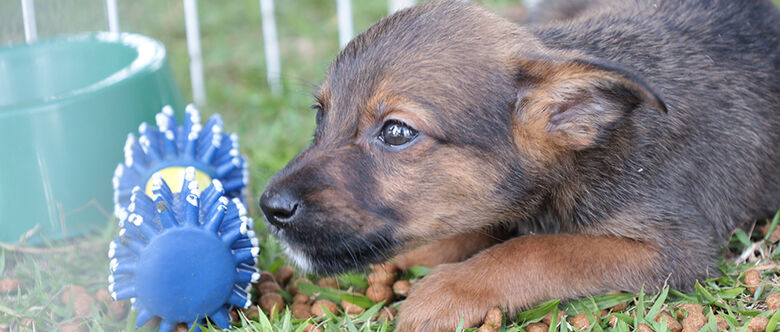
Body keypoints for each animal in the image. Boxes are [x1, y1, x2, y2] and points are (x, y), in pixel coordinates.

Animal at [258, 0, 776, 330]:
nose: (269, 208)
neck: (586, 154)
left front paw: (447, 290)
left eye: (397, 132)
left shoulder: (673, 250)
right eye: (320, 114)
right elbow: (475, 229)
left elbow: (538, 250)